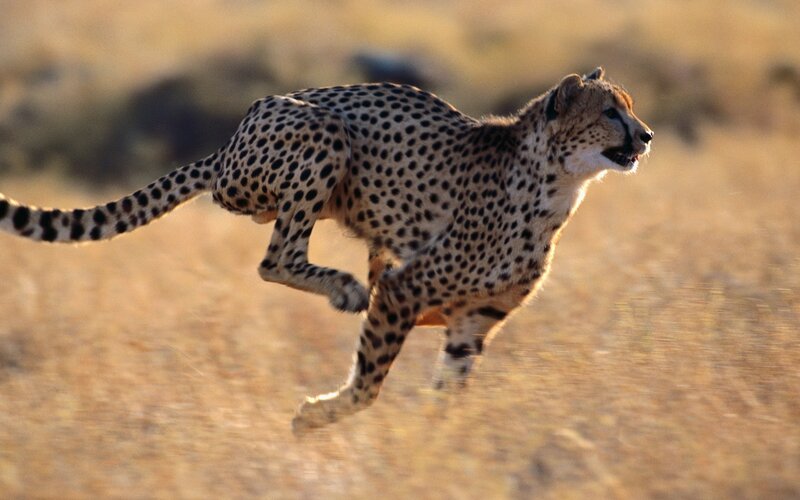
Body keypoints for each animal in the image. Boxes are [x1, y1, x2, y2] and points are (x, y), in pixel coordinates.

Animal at [0, 67, 652, 434]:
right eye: (610, 111)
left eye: (629, 106)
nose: (645, 135)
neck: (556, 184)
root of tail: (229, 141)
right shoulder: (406, 288)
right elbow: (369, 382)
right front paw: (316, 416)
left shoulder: (474, 320)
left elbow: (448, 392)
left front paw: (439, 441)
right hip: (319, 135)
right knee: (275, 258)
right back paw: (342, 287)